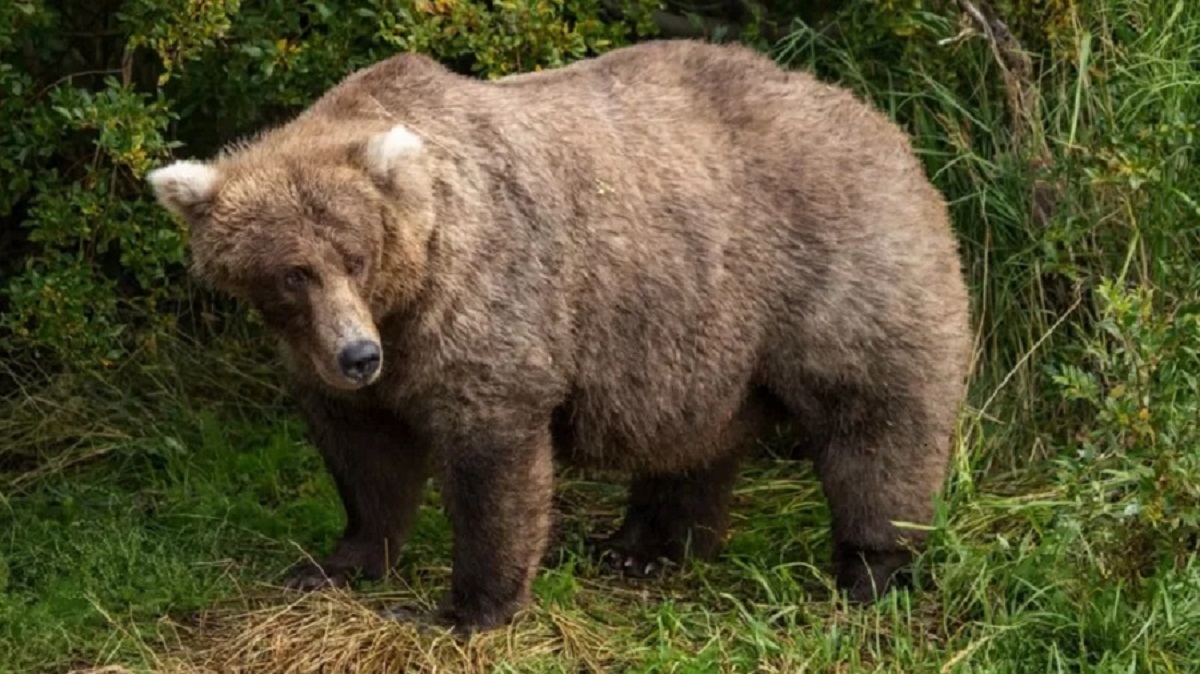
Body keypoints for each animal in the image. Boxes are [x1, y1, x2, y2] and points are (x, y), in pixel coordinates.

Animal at [147, 39, 974, 633]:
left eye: (355, 254)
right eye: (291, 274)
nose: (358, 356)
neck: (406, 299)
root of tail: (885, 125)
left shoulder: (486, 307)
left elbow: (492, 458)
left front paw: (462, 609)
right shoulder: (337, 360)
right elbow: (366, 458)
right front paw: (333, 562)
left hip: (835, 271)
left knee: (875, 421)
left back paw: (872, 571)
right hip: (703, 327)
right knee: (694, 439)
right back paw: (642, 549)